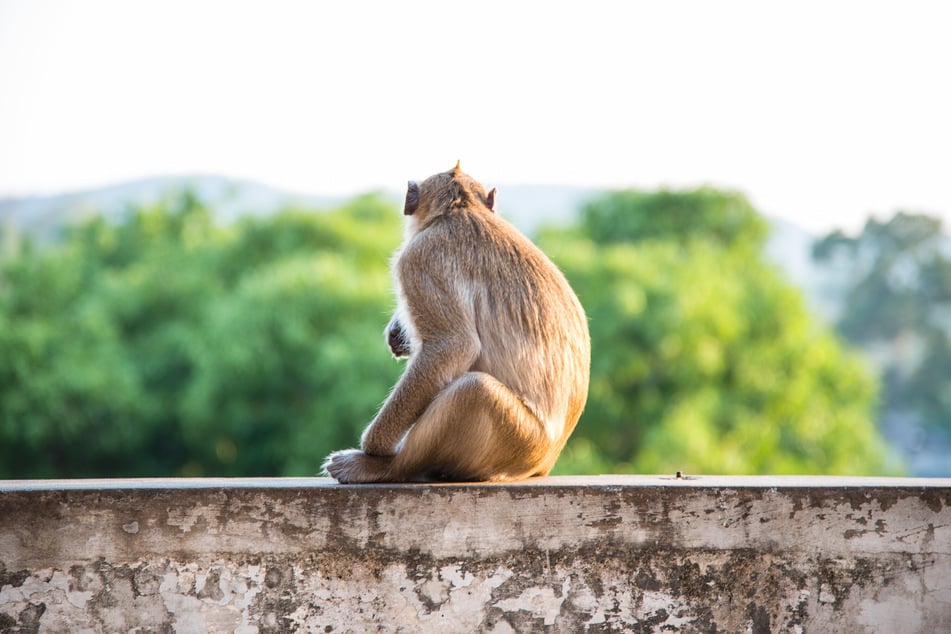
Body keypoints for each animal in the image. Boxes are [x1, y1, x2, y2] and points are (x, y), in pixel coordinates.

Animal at [324, 160, 588, 482]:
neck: (462, 208)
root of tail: (545, 463)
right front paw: (398, 333)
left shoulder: (419, 258)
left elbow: (453, 347)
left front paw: (374, 447)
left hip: (517, 440)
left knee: (474, 390)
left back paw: (389, 467)